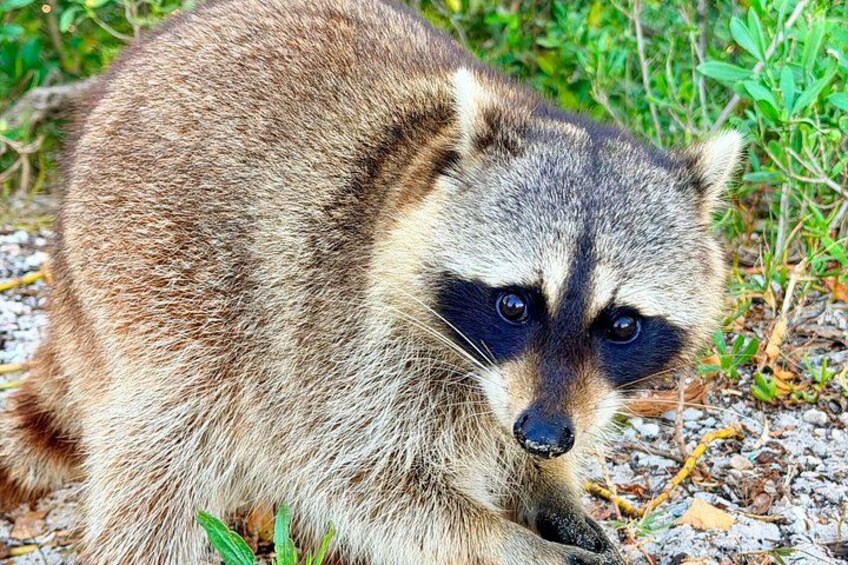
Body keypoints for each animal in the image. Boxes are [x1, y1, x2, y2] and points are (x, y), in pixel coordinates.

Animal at [0, 0, 741, 563]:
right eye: (514, 304)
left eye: (622, 324)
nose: (543, 436)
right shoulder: (337, 337)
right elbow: (363, 482)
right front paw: (512, 542)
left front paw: (549, 485)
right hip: (151, 273)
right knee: (162, 450)